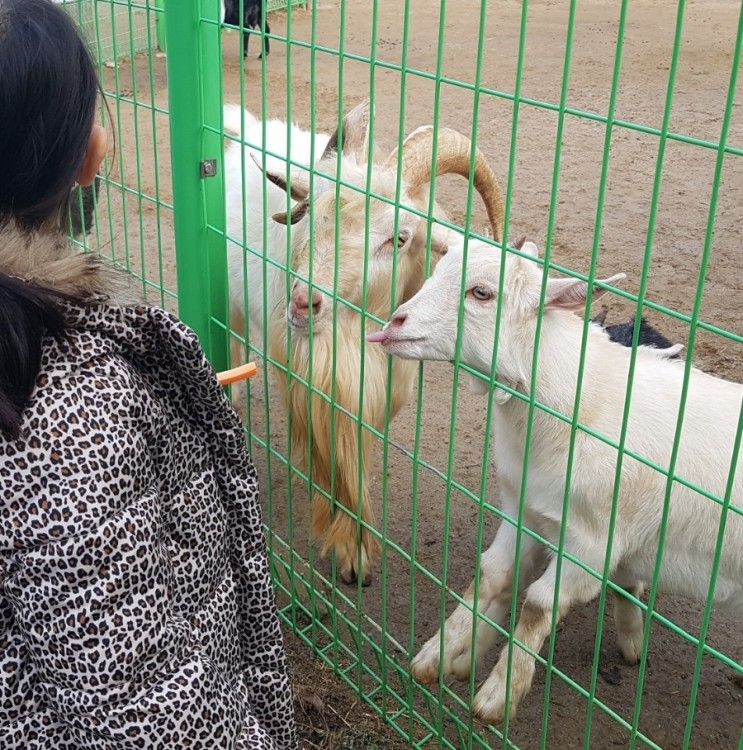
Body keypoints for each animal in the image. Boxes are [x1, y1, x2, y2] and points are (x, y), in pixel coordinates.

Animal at [224, 100, 508, 584]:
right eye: (312, 218)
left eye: (400, 238)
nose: (302, 304)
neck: (353, 338)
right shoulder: (309, 381)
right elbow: (332, 461)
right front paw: (348, 549)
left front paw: (355, 549)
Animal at [372, 234, 743, 724]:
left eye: (482, 293)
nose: (393, 323)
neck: (577, 406)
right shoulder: (528, 509)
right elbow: (491, 575)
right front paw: (442, 656)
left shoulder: (592, 545)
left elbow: (538, 605)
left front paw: (498, 695)